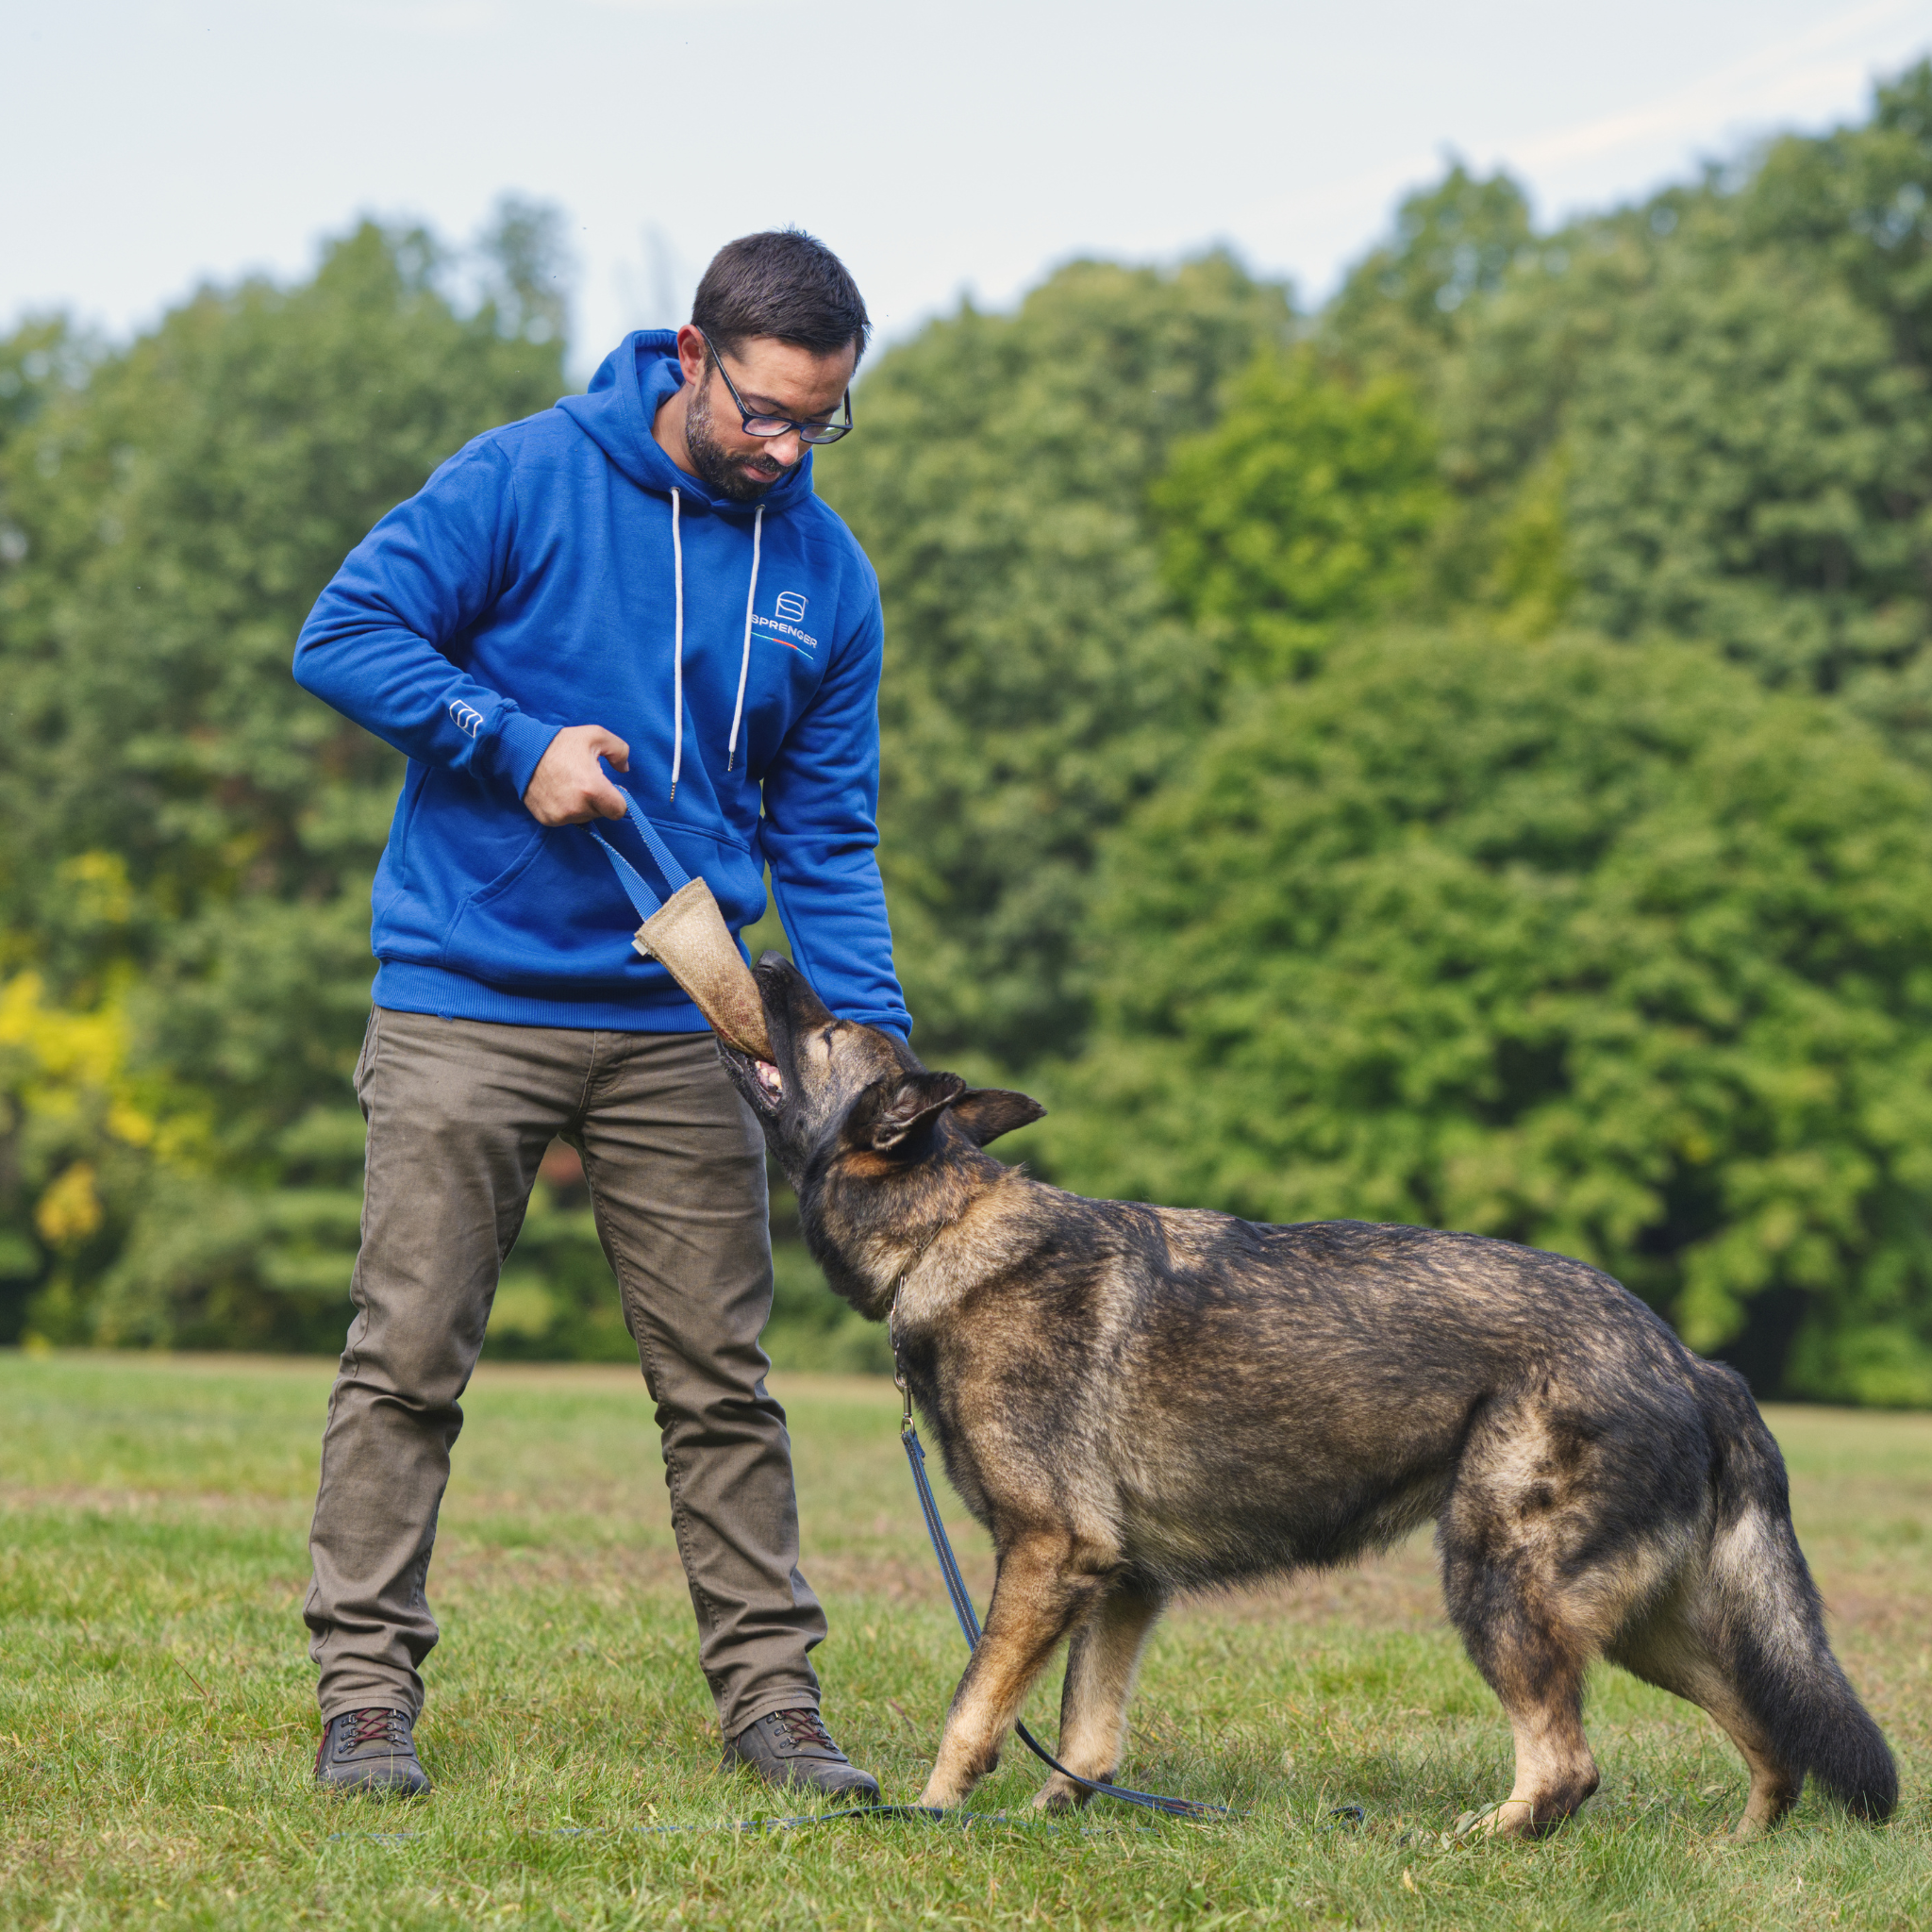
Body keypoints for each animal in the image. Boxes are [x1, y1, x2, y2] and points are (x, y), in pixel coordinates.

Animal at [718, 958, 1893, 1831]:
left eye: (823, 1031)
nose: (766, 957)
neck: (945, 1230)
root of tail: (1690, 1360)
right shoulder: (1120, 1581)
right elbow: (1087, 1738)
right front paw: (1055, 1820)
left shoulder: (1049, 1557)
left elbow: (973, 1709)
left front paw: (925, 1816)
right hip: (1642, 1623)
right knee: (1774, 1736)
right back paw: (1736, 1848)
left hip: (1500, 1583)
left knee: (1566, 1765)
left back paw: (1472, 1843)